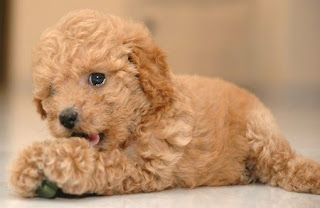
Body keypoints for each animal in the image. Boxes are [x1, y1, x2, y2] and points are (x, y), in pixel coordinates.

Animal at [9, 9, 320, 197]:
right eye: (51, 91)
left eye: (97, 78)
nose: (66, 117)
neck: (141, 119)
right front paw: (31, 164)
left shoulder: (147, 169)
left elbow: (101, 163)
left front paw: (57, 159)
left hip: (260, 133)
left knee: (284, 163)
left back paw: (311, 175)